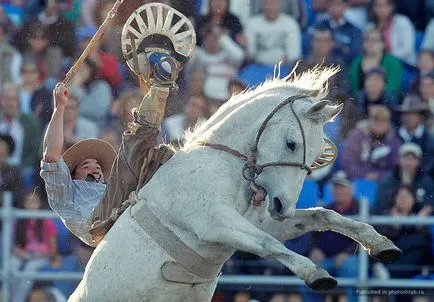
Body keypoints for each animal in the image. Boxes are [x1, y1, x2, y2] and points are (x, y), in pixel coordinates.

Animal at [70, 68, 400, 302]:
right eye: (291, 143)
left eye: (318, 154)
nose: (283, 206)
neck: (220, 163)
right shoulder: (214, 222)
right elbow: (269, 244)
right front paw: (315, 273)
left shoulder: (260, 221)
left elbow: (323, 215)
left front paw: (381, 243)